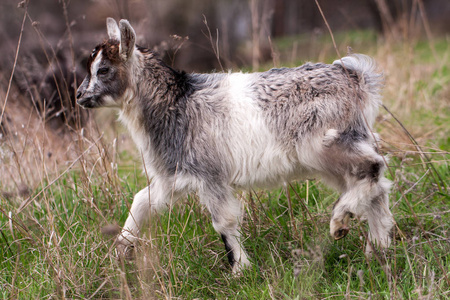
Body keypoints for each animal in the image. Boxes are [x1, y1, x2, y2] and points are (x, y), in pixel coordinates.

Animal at [77, 17, 394, 274]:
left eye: (103, 70)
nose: (79, 95)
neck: (177, 103)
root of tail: (355, 77)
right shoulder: (172, 176)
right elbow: (142, 201)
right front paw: (119, 251)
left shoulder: (209, 175)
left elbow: (224, 222)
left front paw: (240, 270)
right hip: (336, 154)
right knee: (375, 188)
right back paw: (376, 251)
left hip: (325, 144)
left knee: (373, 167)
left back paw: (341, 222)